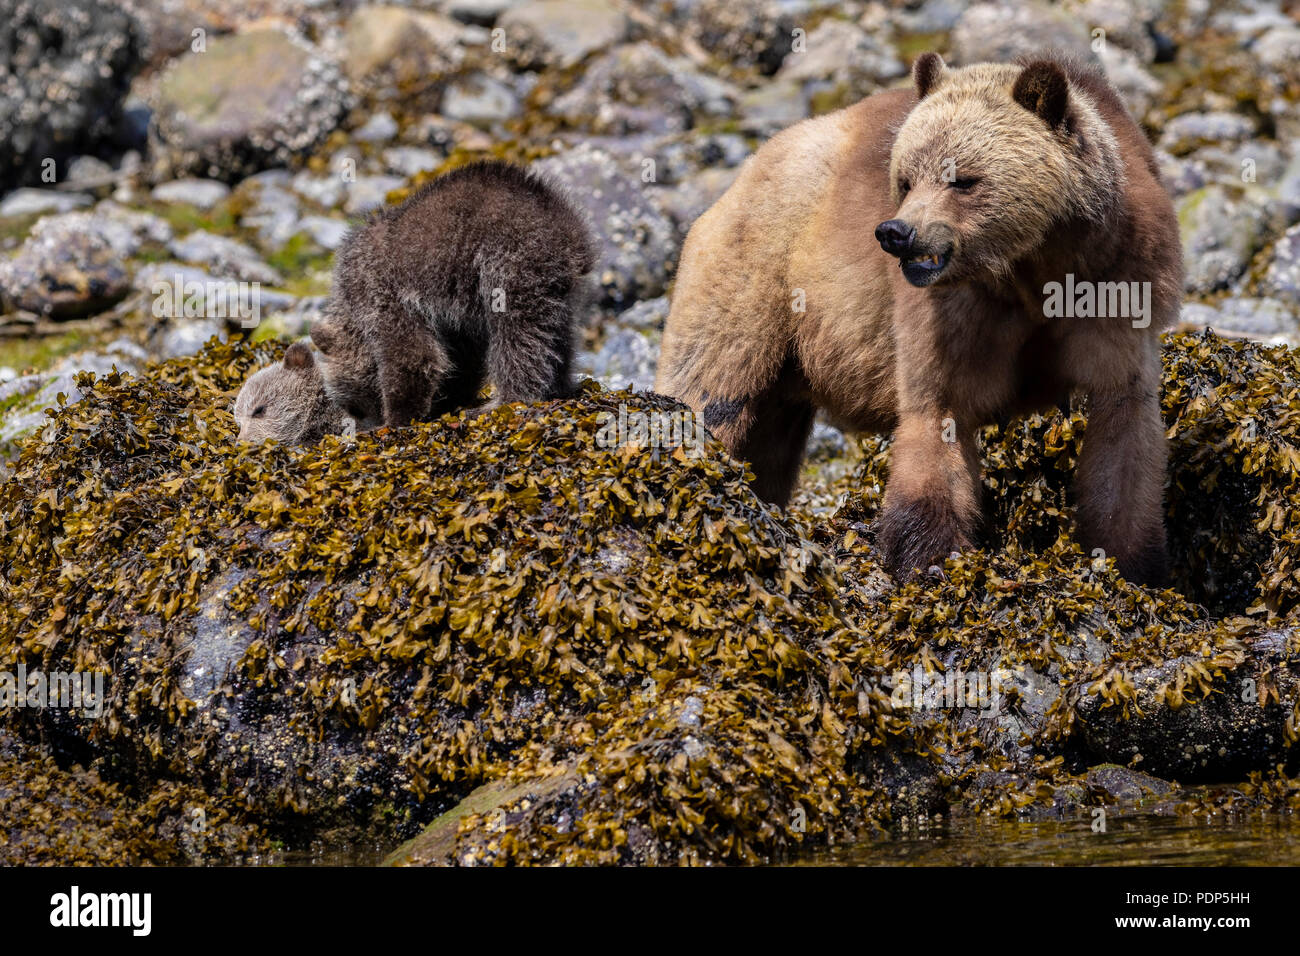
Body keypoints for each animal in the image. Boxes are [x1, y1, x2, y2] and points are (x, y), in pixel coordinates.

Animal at [655, 57, 1185, 590]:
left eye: (963, 179)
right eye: (906, 179)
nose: (896, 232)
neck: (1032, 271)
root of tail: (746, 170)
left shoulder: (1116, 285)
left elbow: (1122, 424)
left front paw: (1132, 563)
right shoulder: (952, 315)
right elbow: (937, 412)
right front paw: (933, 558)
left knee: (768, 435)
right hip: (754, 277)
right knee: (711, 386)